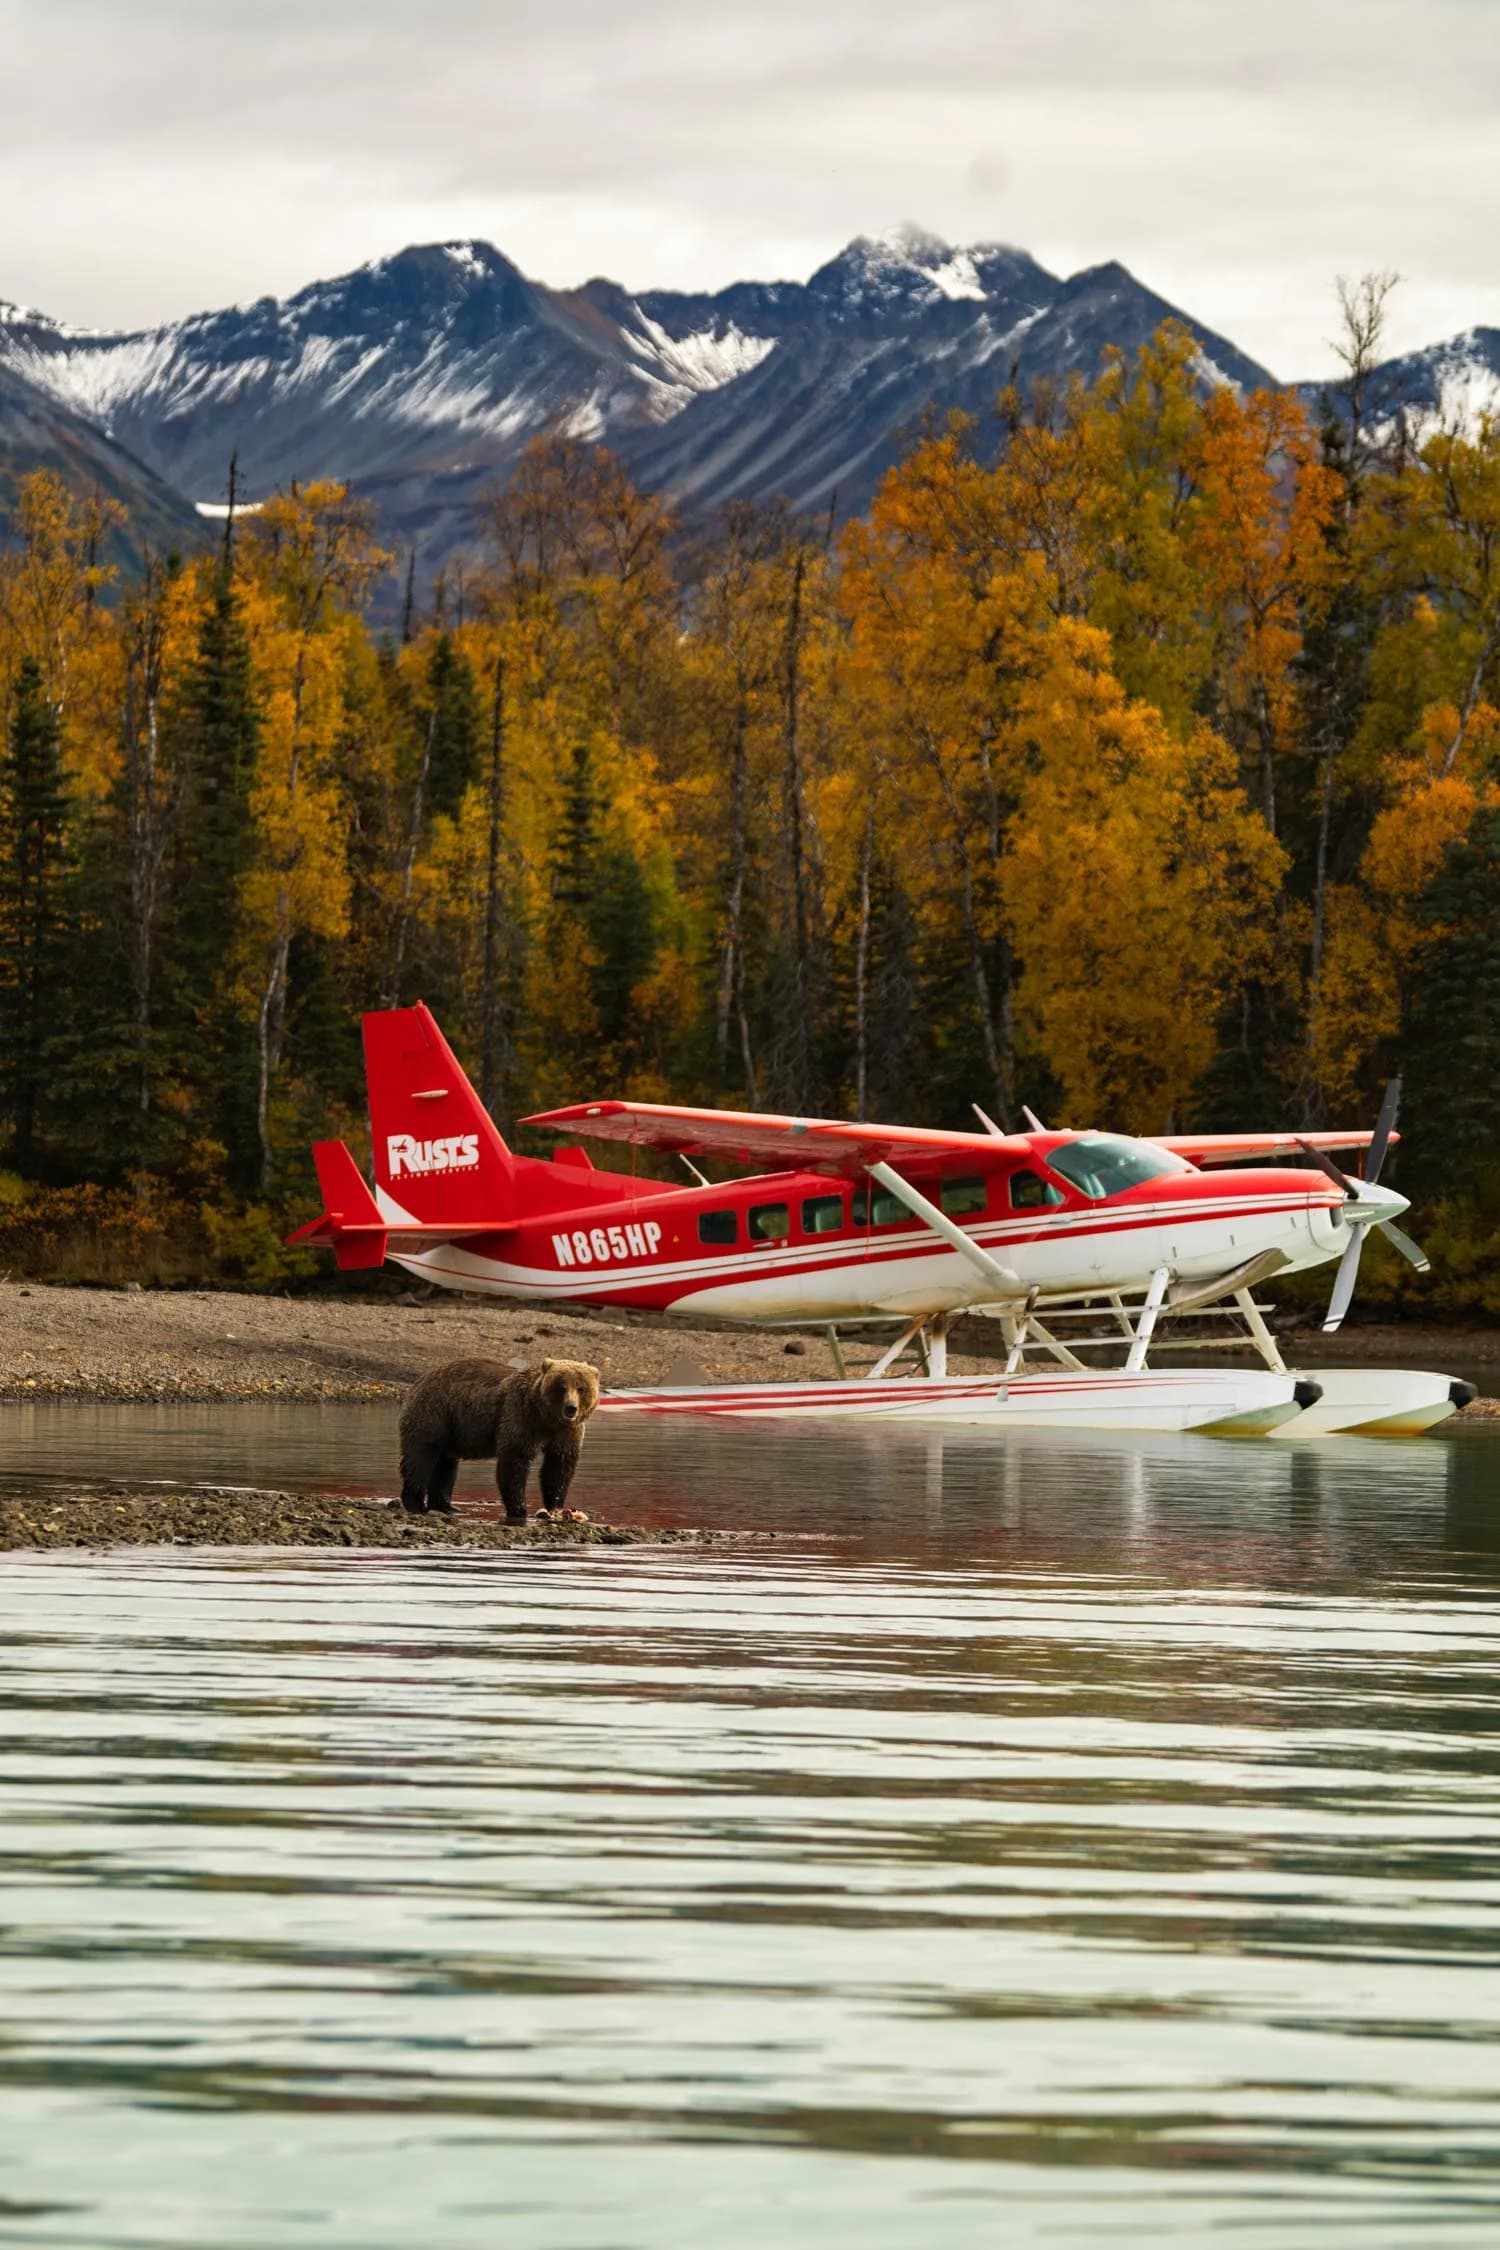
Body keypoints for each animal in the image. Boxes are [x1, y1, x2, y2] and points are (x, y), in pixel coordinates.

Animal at [398, 1355, 601, 1523]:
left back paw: (448, 1507)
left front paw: (555, 1508)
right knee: (421, 1457)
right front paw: (519, 1510)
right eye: (561, 1387)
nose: (571, 1407)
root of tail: (421, 1379)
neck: (546, 1418)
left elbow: (558, 1467)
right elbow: (514, 1462)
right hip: (434, 1413)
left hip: (451, 1429)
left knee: (446, 1465)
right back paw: (416, 1504)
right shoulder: (518, 1415)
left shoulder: (566, 1432)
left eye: (581, 1388)